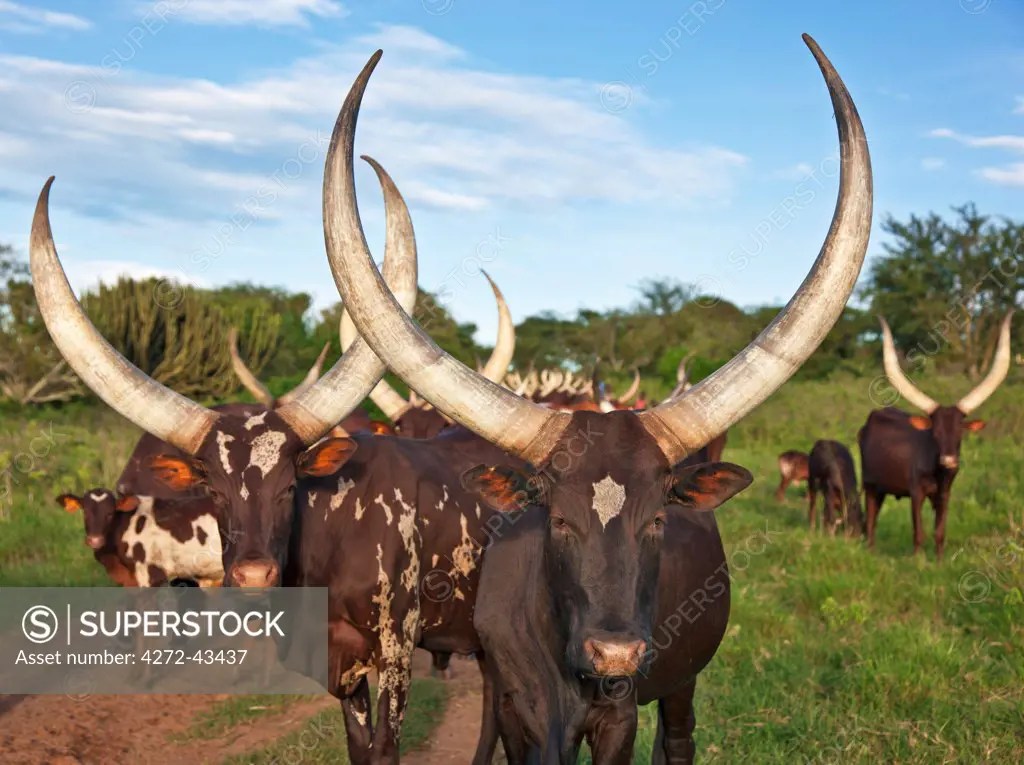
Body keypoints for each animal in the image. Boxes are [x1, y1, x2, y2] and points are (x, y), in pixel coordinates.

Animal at [856, 313, 1015, 561]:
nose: (948, 460)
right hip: (870, 484)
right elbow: (918, 531)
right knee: (871, 520)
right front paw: (918, 561)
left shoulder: (944, 494)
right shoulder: (916, 492)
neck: (936, 472)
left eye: (960, 432)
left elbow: (939, 531)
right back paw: (871, 551)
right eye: (935, 433)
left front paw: (939, 562)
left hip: (882, 487)